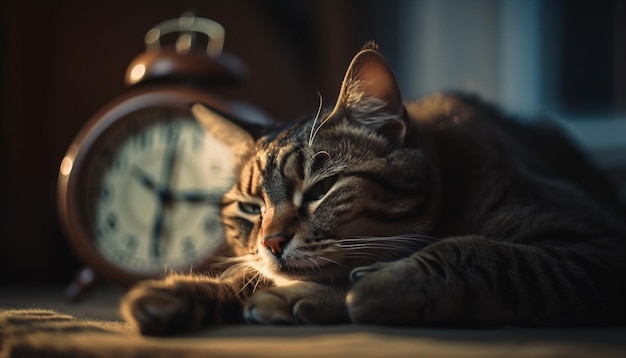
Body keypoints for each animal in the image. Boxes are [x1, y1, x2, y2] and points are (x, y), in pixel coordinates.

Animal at [119, 42, 624, 336]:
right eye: (249, 207)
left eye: (320, 190)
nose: (271, 242)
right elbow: (246, 275)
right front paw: (182, 293)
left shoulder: (597, 242)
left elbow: (479, 252)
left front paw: (372, 286)